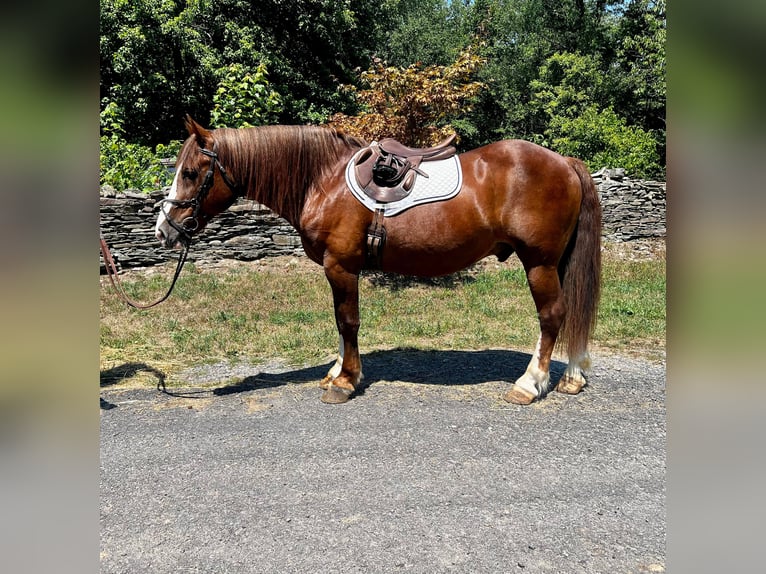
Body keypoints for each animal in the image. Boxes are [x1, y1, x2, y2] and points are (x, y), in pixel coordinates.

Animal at [154, 116, 600, 404]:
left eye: (190, 173)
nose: (164, 229)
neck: (324, 180)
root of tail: (565, 162)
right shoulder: (337, 268)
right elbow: (339, 321)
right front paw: (337, 372)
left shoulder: (341, 265)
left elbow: (347, 321)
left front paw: (346, 382)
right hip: (556, 263)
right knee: (571, 313)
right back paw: (573, 377)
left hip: (539, 263)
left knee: (552, 316)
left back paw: (530, 383)